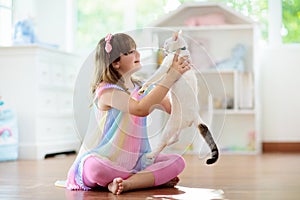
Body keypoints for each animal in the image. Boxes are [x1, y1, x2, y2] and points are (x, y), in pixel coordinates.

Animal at [139, 31, 219, 164]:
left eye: (166, 42)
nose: (163, 47)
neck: (181, 50)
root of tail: (195, 115)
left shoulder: (165, 67)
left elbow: (154, 77)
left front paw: (144, 86)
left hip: (170, 125)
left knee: (163, 142)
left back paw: (151, 154)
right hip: (177, 125)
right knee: (176, 138)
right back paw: (169, 143)